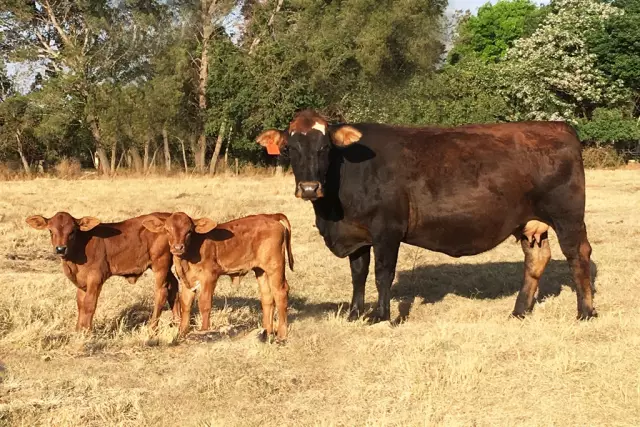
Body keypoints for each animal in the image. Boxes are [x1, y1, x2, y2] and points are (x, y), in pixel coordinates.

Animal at [25, 213, 179, 332]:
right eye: (51, 231)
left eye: (72, 231)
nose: (60, 249)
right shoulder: (82, 282)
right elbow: (80, 304)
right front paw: (78, 329)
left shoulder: (96, 278)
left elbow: (89, 304)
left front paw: (86, 331)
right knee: (174, 286)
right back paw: (177, 322)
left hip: (160, 264)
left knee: (161, 292)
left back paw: (152, 327)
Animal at [141, 212, 294, 342]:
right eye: (167, 230)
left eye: (189, 231)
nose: (178, 247)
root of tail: (271, 216)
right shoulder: (186, 281)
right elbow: (186, 305)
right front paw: (181, 333)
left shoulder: (209, 277)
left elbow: (204, 304)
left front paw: (204, 331)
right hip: (261, 270)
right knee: (267, 296)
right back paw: (266, 331)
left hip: (275, 266)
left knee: (280, 292)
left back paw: (282, 335)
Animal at [256, 111, 596, 324]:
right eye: (289, 149)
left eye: (325, 147)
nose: (309, 188)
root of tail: (559, 127)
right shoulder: (358, 234)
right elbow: (358, 274)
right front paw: (354, 313)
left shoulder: (387, 230)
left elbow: (382, 273)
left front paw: (380, 316)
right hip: (529, 223)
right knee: (536, 259)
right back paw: (519, 311)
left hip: (568, 217)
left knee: (578, 255)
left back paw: (585, 311)